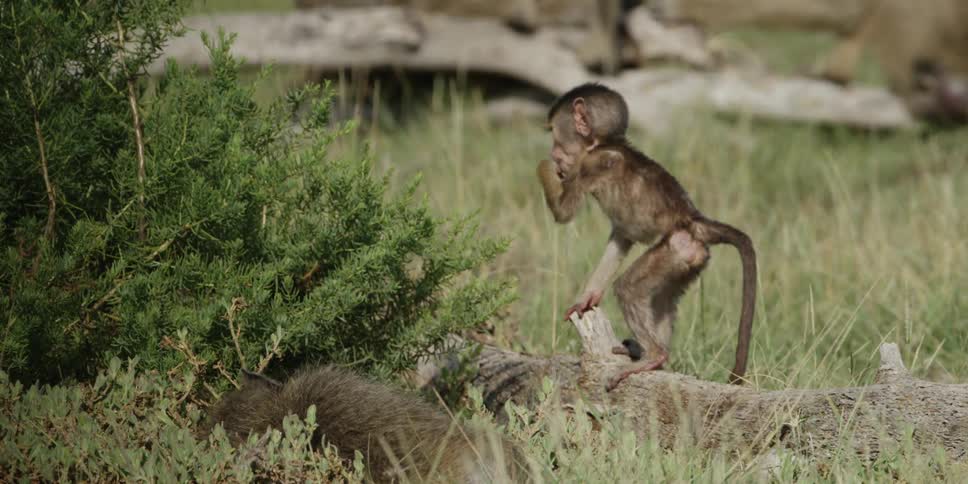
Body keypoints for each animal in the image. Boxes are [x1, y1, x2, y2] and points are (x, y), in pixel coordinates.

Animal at [538, 83, 757, 390]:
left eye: (556, 137)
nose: (554, 153)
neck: (601, 144)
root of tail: (692, 219)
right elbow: (622, 236)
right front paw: (588, 297)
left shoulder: (594, 164)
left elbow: (564, 212)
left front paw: (545, 165)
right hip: (688, 261)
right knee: (663, 299)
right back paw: (656, 357)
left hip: (676, 249)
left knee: (629, 288)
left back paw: (653, 356)